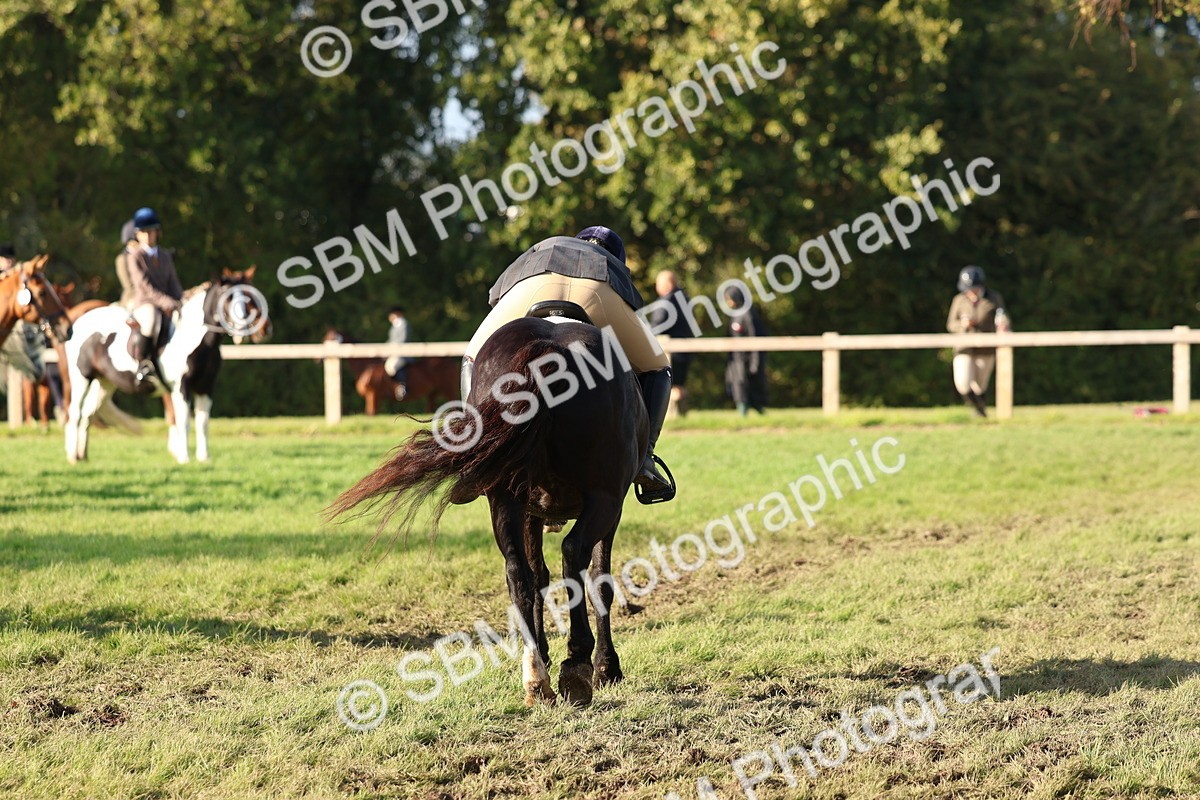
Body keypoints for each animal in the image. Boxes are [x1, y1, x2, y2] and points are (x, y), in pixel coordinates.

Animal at [64, 267, 269, 464]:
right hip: (81, 377)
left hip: (105, 383)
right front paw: (184, 458)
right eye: (228, 297)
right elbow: (183, 421)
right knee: (75, 412)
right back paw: (73, 457)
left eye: (251, 295)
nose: (247, 329)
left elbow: (203, 422)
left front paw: (204, 458)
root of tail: (78, 322)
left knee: (88, 413)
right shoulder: (181, 386)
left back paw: (83, 456)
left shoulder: (206, 387)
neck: (198, 340)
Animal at [322, 328, 459, 415]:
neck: (366, 367)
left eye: (330, 338)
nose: (319, 359)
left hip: (448, 389)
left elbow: (371, 414)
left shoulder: (373, 395)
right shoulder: (372, 397)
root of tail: (451, 361)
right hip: (433, 393)